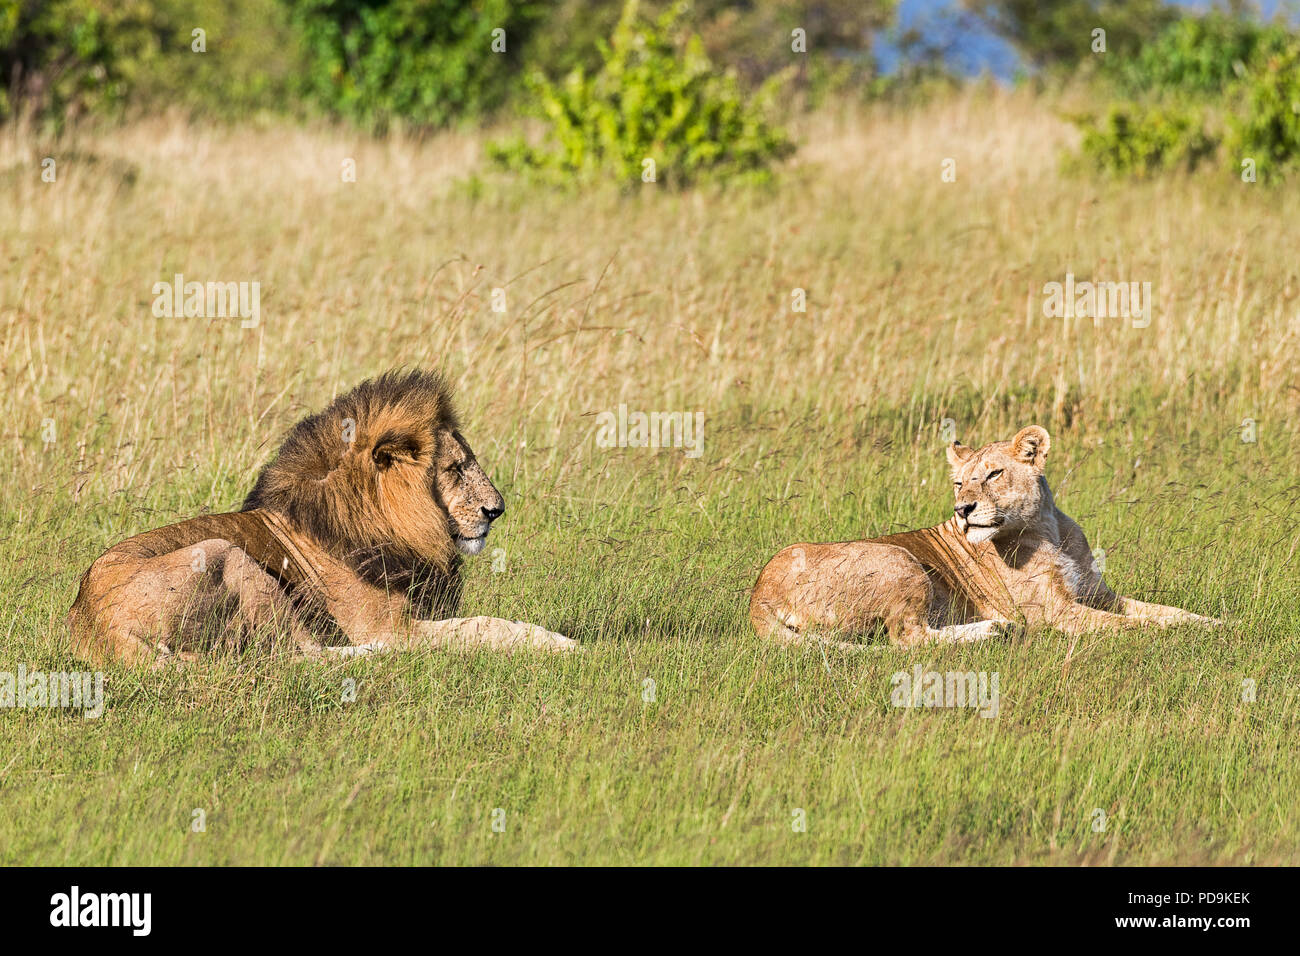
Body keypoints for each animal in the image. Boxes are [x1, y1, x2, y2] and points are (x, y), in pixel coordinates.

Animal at [69, 369, 577, 667]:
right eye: (454, 468)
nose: (498, 510)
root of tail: (99, 627)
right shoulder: (392, 624)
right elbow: (483, 625)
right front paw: (562, 643)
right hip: (227, 555)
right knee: (300, 656)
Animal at [750, 425, 1222, 649]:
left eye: (994, 474)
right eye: (959, 484)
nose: (963, 510)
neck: (1048, 528)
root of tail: (758, 595)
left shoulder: (1098, 593)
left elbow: (1166, 611)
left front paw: (1216, 623)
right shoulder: (1057, 613)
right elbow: (1133, 626)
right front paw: (1173, 636)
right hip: (897, 559)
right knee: (909, 638)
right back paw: (995, 629)